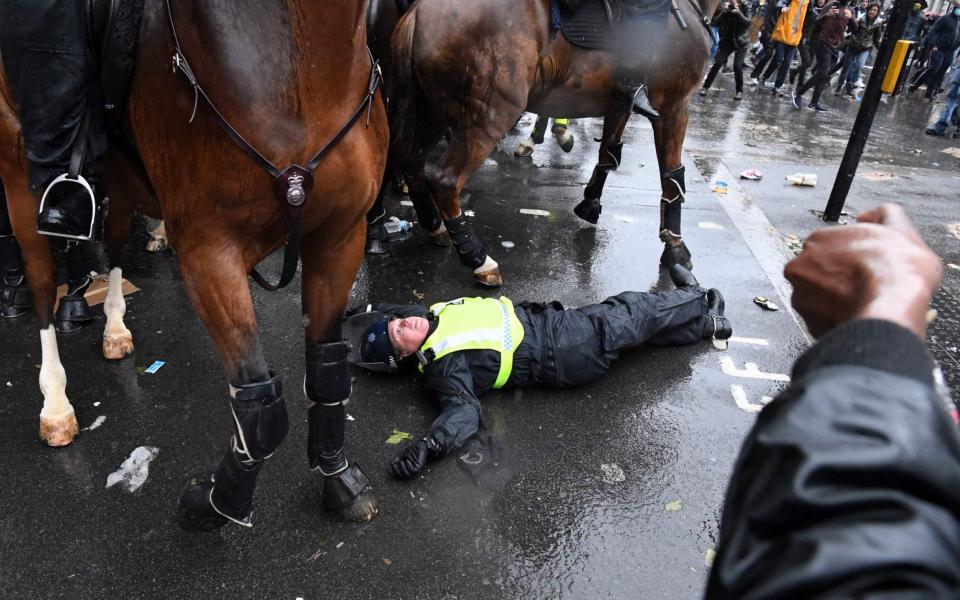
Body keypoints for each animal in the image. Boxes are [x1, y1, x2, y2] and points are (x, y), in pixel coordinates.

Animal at [1, 0, 390, 528]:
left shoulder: (340, 235)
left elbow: (328, 371)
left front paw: (338, 478)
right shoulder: (210, 252)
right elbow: (259, 406)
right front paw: (215, 504)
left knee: (116, 243)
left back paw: (115, 328)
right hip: (17, 169)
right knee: (42, 281)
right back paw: (56, 404)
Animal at [378, 0, 716, 286]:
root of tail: (420, 10)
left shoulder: (620, 105)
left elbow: (608, 155)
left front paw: (589, 204)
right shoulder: (673, 107)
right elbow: (672, 177)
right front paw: (675, 247)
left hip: (431, 111)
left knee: (411, 160)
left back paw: (434, 225)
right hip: (488, 116)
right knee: (444, 179)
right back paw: (478, 259)